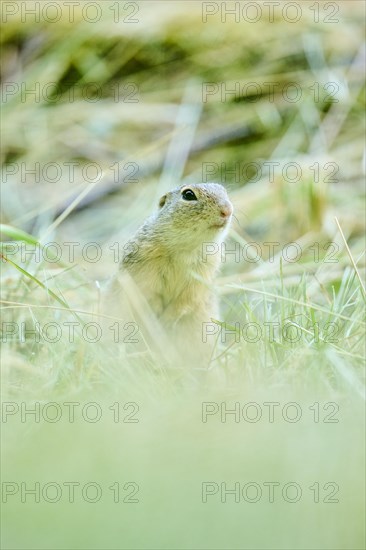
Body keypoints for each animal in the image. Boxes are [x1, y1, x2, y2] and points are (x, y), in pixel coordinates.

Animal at [101, 184, 233, 366]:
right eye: (188, 194)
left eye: (224, 191)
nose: (227, 210)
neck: (185, 249)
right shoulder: (144, 265)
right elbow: (145, 293)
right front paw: (155, 315)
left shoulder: (203, 273)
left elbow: (187, 299)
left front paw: (167, 319)